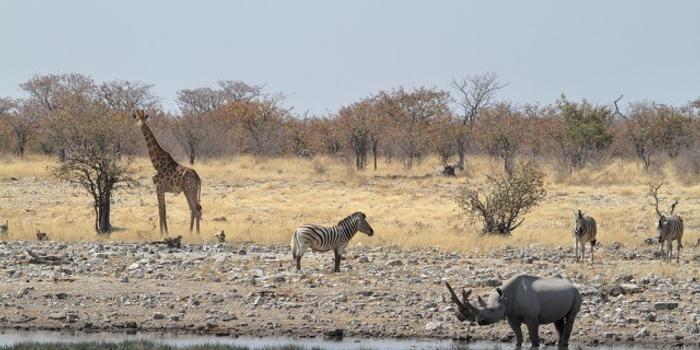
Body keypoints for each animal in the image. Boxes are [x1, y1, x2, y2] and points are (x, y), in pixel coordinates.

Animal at [446, 276, 584, 348]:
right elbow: (517, 335)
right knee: (558, 321)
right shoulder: (510, 315)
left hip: (576, 293)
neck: (505, 297)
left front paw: (535, 345)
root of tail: (572, 284)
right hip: (564, 294)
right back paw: (559, 344)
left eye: (492, 310)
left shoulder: (532, 317)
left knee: (571, 317)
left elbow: (533, 336)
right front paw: (518, 343)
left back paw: (564, 343)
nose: (479, 320)